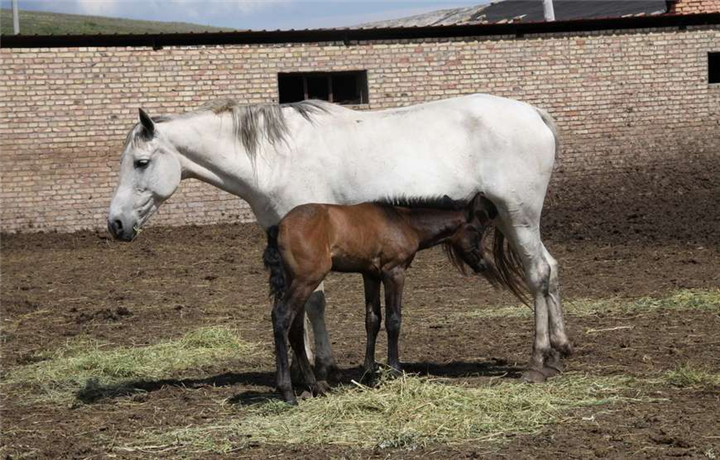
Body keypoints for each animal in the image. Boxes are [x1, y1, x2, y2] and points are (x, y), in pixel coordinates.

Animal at [107, 95, 572, 382]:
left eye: (141, 162)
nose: (115, 223)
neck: (275, 158)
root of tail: (534, 113)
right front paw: (308, 367)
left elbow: (314, 302)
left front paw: (322, 368)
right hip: (512, 219)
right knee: (549, 270)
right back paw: (561, 347)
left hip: (519, 214)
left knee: (537, 273)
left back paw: (538, 358)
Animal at [262, 192, 506, 404]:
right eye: (477, 231)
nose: (484, 264)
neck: (402, 222)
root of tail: (279, 227)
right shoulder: (394, 272)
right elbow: (393, 320)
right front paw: (395, 370)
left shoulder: (370, 275)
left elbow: (373, 319)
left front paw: (369, 373)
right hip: (307, 280)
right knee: (281, 317)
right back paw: (288, 392)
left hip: (296, 281)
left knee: (294, 329)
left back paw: (314, 386)